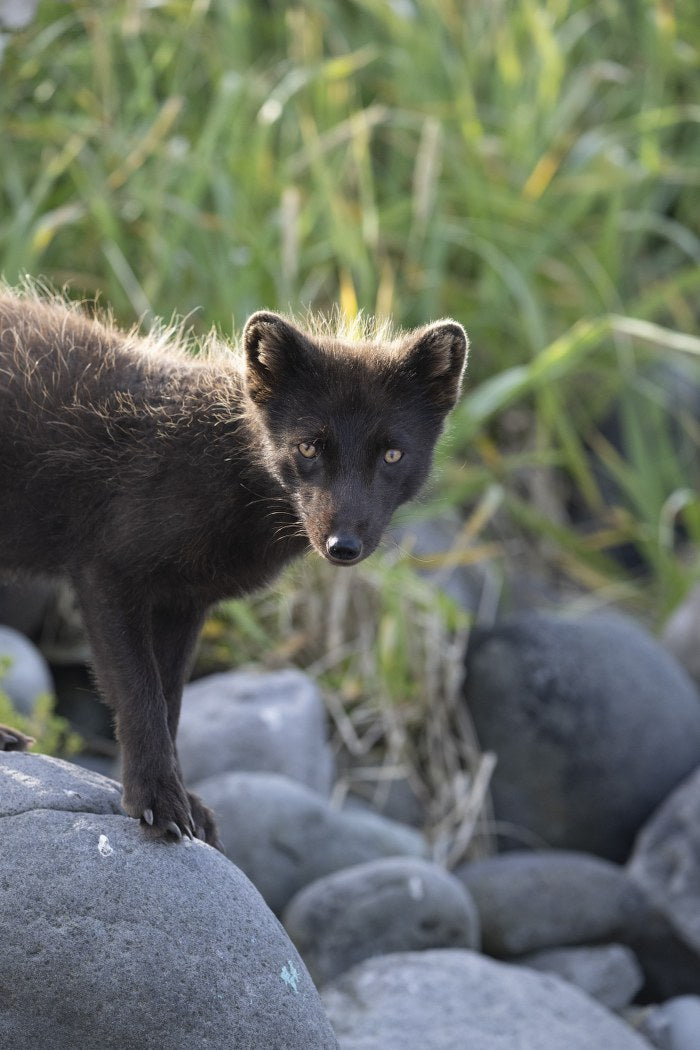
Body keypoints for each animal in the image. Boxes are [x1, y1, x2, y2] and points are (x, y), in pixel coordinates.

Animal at [0, 288, 468, 848]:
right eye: (308, 447)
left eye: (393, 455)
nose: (343, 546)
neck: (214, 463)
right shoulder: (106, 574)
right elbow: (139, 696)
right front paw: (156, 800)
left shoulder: (182, 600)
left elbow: (171, 701)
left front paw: (186, 802)